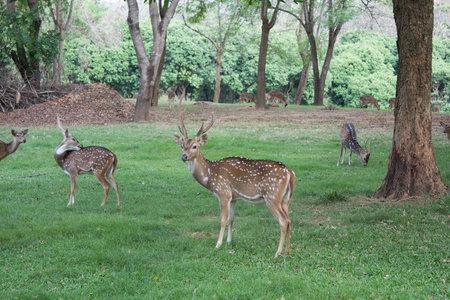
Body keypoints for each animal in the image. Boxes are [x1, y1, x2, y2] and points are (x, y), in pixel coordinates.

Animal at [172, 99, 296, 258]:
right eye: (182, 145)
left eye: (194, 146)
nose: (184, 157)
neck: (210, 175)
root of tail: (290, 173)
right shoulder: (234, 197)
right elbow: (231, 219)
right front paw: (229, 242)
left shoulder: (223, 192)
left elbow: (223, 219)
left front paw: (218, 244)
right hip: (286, 198)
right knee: (289, 219)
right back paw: (287, 251)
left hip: (272, 196)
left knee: (283, 221)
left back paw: (277, 252)